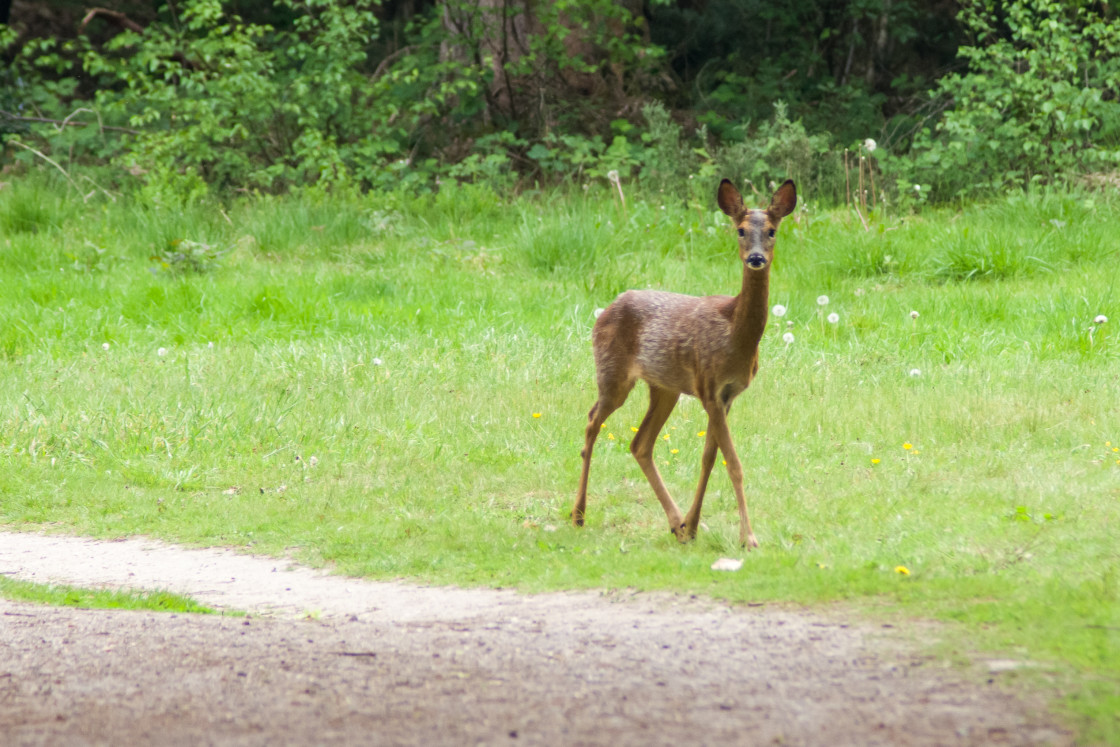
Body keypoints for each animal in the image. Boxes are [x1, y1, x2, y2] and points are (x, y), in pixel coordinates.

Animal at [568, 178, 797, 546]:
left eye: (772, 231)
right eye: (741, 230)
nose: (756, 258)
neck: (736, 334)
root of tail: (605, 310)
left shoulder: (726, 395)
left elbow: (709, 458)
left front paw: (693, 524)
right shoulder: (709, 386)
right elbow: (733, 463)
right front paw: (748, 537)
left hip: (664, 387)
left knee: (640, 443)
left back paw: (676, 523)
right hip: (613, 374)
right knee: (592, 422)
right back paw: (578, 514)